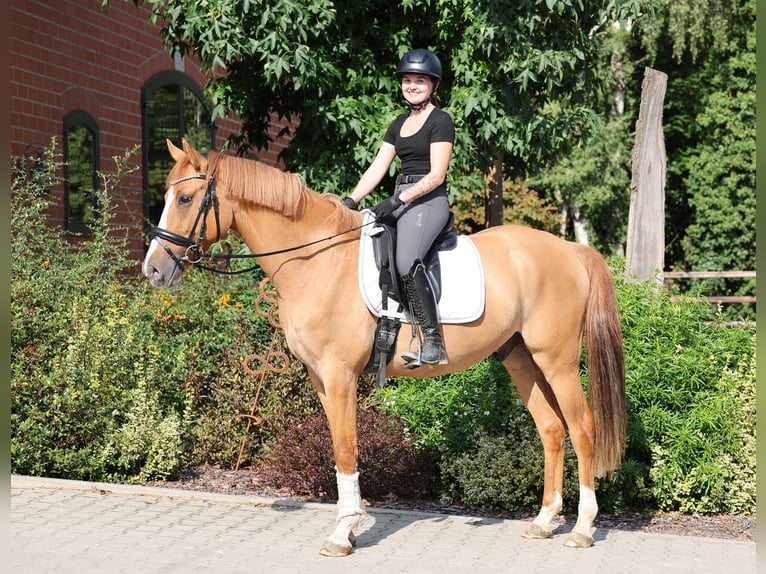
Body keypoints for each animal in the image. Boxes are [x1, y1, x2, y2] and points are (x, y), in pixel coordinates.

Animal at [141, 140, 628, 560]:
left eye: (185, 199)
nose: (153, 269)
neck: (317, 262)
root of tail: (569, 248)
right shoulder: (321, 379)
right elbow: (339, 449)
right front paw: (349, 526)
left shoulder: (339, 376)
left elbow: (345, 448)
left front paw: (343, 533)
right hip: (519, 356)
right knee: (551, 428)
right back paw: (545, 521)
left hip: (557, 359)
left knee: (582, 427)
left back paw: (582, 528)